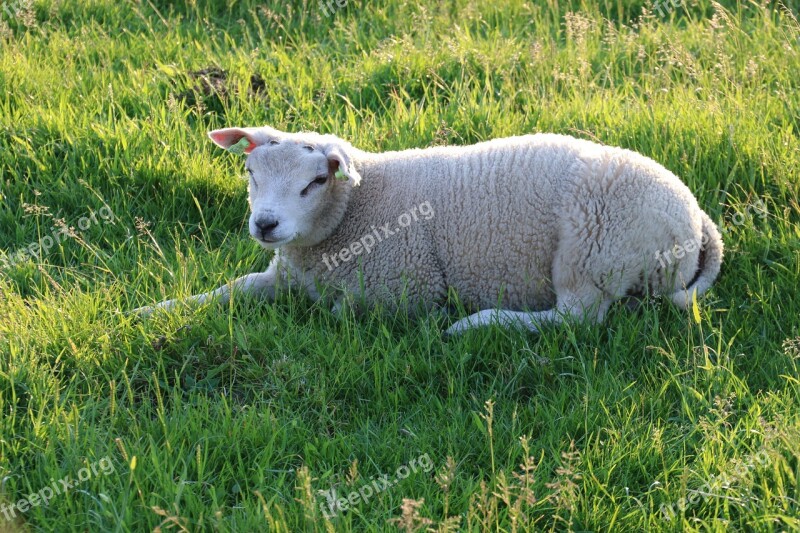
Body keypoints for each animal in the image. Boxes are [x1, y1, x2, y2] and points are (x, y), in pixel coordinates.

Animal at [134, 125, 720, 334]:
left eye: (315, 181)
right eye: (251, 173)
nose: (265, 224)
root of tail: (699, 224)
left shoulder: (404, 289)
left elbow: (340, 313)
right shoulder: (281, 273)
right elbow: (227, 290)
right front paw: (147, 311)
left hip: (592, 252)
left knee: (577, 319)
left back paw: (477, 323)